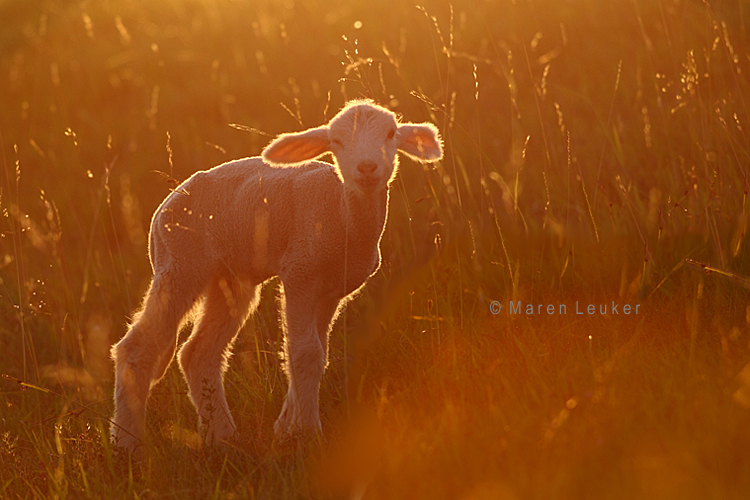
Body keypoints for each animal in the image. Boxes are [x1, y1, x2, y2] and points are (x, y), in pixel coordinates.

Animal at [108, 99, 444, 452]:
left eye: (391, 134)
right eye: (336, 141)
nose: (366, 168)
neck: (342, 216)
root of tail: (163, 208)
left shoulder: (332, 289)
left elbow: (317, 353)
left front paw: (287, 428)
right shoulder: (300, 272)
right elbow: (304, 353)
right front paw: (308, 432)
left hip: (229, 279)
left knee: (198, 353)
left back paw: (221, 436)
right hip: (181, 263)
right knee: (136, 348)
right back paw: (127, 442)